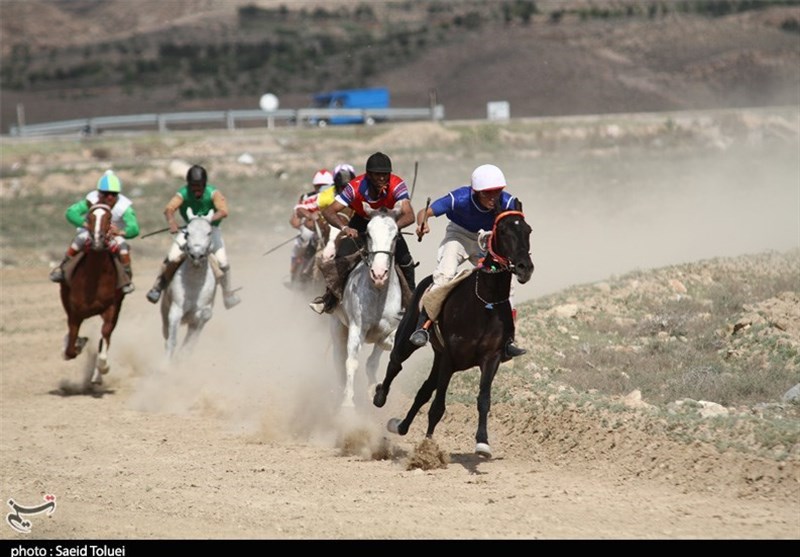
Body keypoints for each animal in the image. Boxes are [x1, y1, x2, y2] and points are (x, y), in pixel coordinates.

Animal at [60, 202, 125, 384]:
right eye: (89, 217)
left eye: (109, 218)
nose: (97, 240)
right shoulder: (75, 312)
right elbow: (70, 348)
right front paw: (77, 344)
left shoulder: (111, 308)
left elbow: (105, 337)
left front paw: (102, 368)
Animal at [328, 206, 404, 406]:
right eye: (368, 234)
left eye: (396, 236)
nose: (379, 274)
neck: (378, 293)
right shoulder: (357, 328)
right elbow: (351, 362)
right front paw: (347, 405)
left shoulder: (392, 327)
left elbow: (376, 357)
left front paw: (373, 390)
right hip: (337, 325)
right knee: (339, 357)